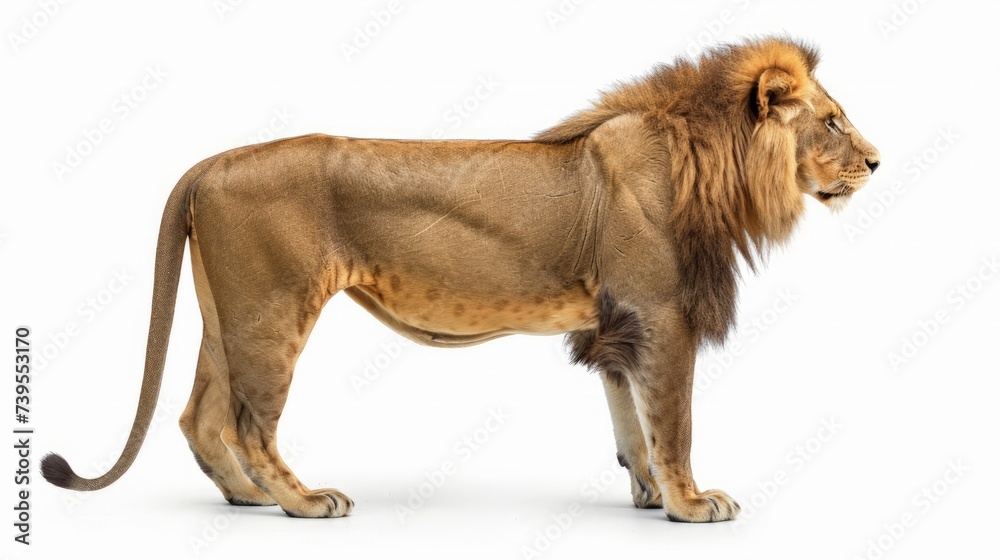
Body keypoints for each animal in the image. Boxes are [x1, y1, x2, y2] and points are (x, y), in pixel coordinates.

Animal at [42, 37, 879, 522]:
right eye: (832, 121)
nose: (877, 162)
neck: (710, 166)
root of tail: (209, 162)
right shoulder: (660, 313)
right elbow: (672, 421)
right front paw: (691, 503)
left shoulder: (614, 325)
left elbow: (630, 422)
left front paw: (646, 497)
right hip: (273, 313)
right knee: (249, 423)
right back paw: (304, 503)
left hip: (229, 317)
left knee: (201, 416)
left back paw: (246, 500)